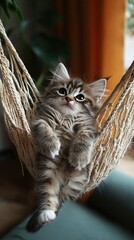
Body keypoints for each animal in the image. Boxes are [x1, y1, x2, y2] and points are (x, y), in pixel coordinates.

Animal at [26, 62, 106, 232]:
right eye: (62, 91)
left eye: (80, 97)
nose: (68, 99)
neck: (66, 116)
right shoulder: (40, 120)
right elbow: (44, 130)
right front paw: (52, 146)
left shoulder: (88, 128)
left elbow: (82, 141)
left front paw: (79, 158)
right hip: (46, 172)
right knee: (49, 195)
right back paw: (46, 213)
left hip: (76, 182)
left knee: (61, 201)